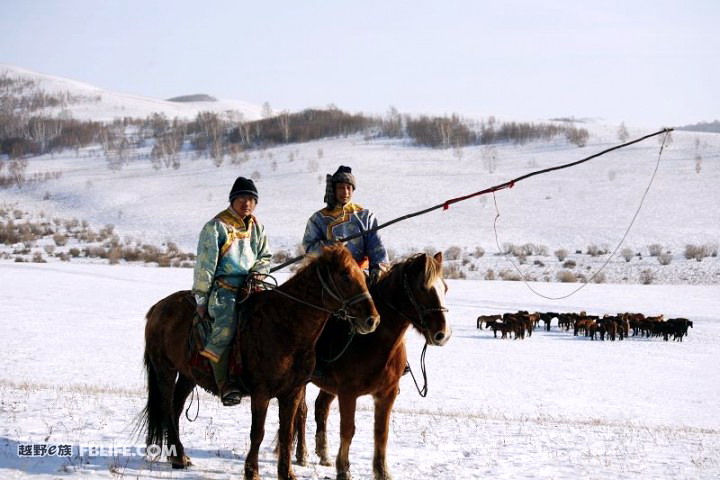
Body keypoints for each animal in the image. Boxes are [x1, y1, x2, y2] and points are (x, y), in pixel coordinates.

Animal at [137, 246, 380, 478]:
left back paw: (178, 456)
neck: (287, 326)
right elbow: (258, 432)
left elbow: (286, 432)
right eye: (345, 275)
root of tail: (158, 308)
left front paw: (287, 473)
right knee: (167, 408)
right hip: (165, 371)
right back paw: (178, 457)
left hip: (188, 376)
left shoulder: (292, 392)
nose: (372, 320)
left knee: (176, 408)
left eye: (362, 275)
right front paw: (252, 471)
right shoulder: (261, 393)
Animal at [290, 253, 448, 478]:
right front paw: (343, 469)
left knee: (321, 408)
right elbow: (348, 429)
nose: (443, 334)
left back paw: (323, 454)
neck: (375, 342)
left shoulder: (387, 394)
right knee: (301, 413)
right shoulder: (348, 393)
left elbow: (381, 432)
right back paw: (302, 454)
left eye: (445, 288)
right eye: (423, 288)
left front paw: (382, 471)